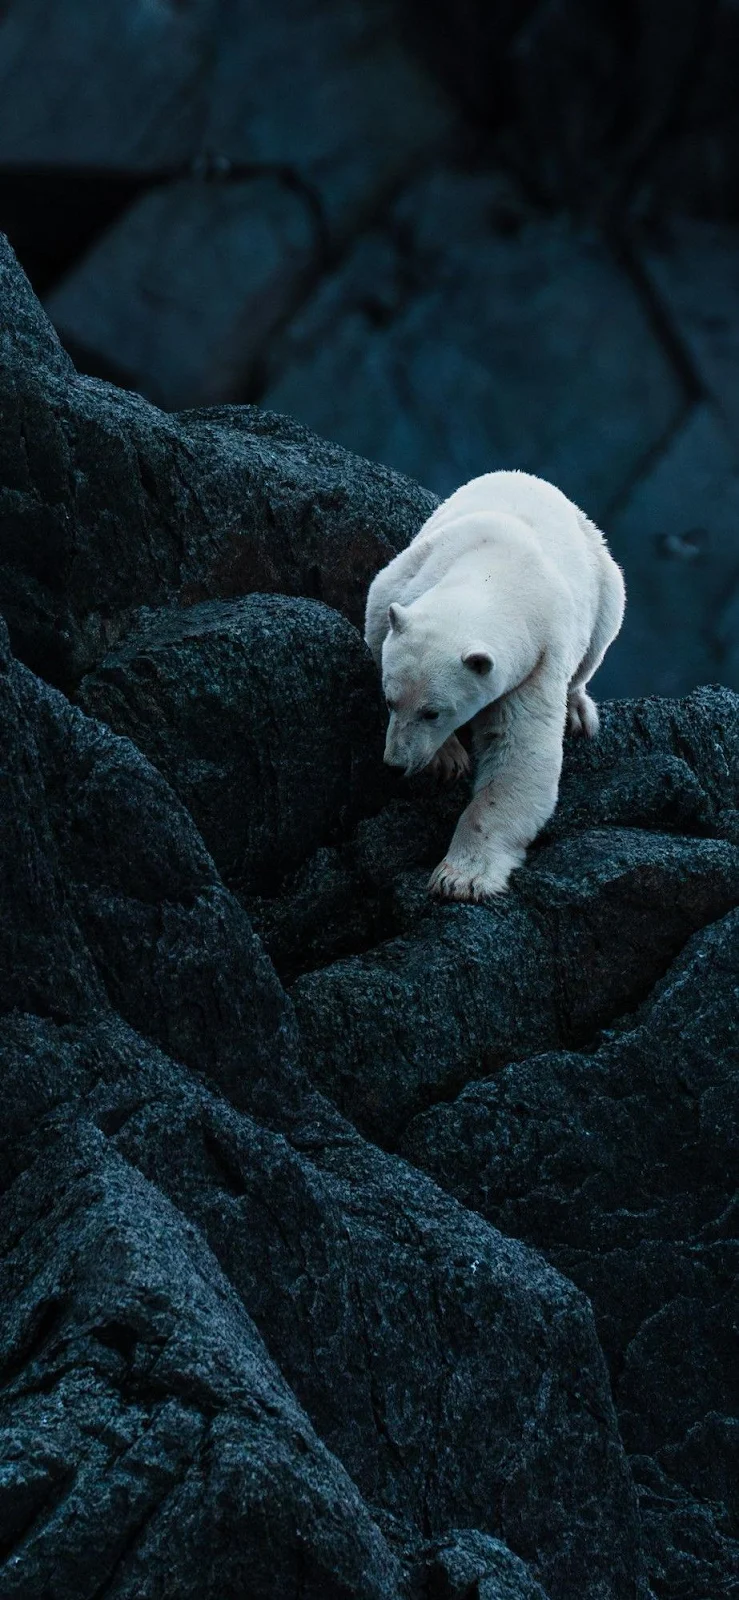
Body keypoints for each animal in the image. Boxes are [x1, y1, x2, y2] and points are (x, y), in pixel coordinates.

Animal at [364, 469, 625, 901]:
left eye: (433, 712)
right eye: (389, 701)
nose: (396, 763)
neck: (498, 570)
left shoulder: (538, 662)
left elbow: (518, 752)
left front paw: (459, 878)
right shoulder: (402, 582)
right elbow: (377, 624)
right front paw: (448, 758)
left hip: (603, 578)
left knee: (599, 637)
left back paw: (578, 711)